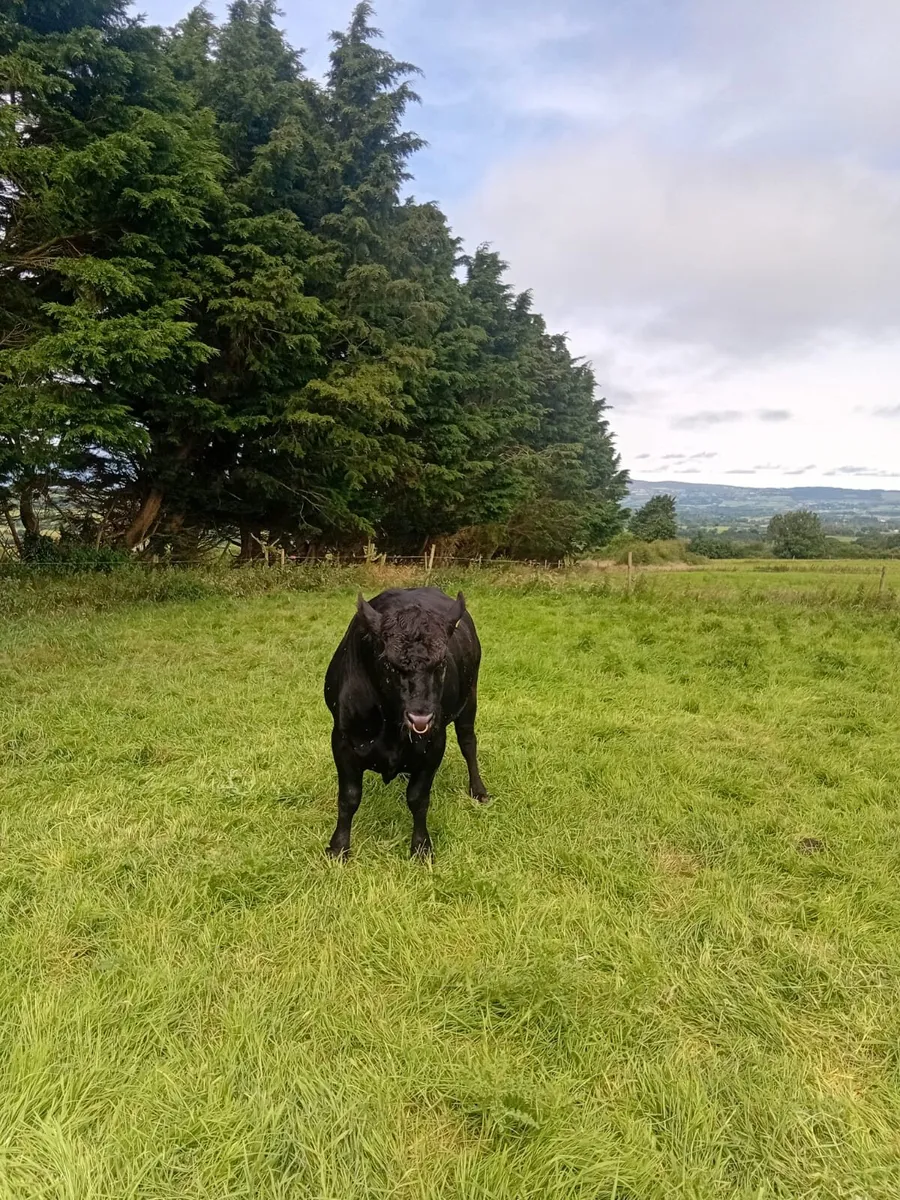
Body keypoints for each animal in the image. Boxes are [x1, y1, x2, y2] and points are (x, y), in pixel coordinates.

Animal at [323, 586, 490, 860]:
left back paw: (479, 790)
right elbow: (349, 797)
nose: (420, 716)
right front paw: (338, 848)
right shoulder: (342, 740)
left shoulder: (435, 743)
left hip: (470, 697)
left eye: (441, 663)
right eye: (389, 664)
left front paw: (421, 847)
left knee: (468, 743)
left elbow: (418, 798)